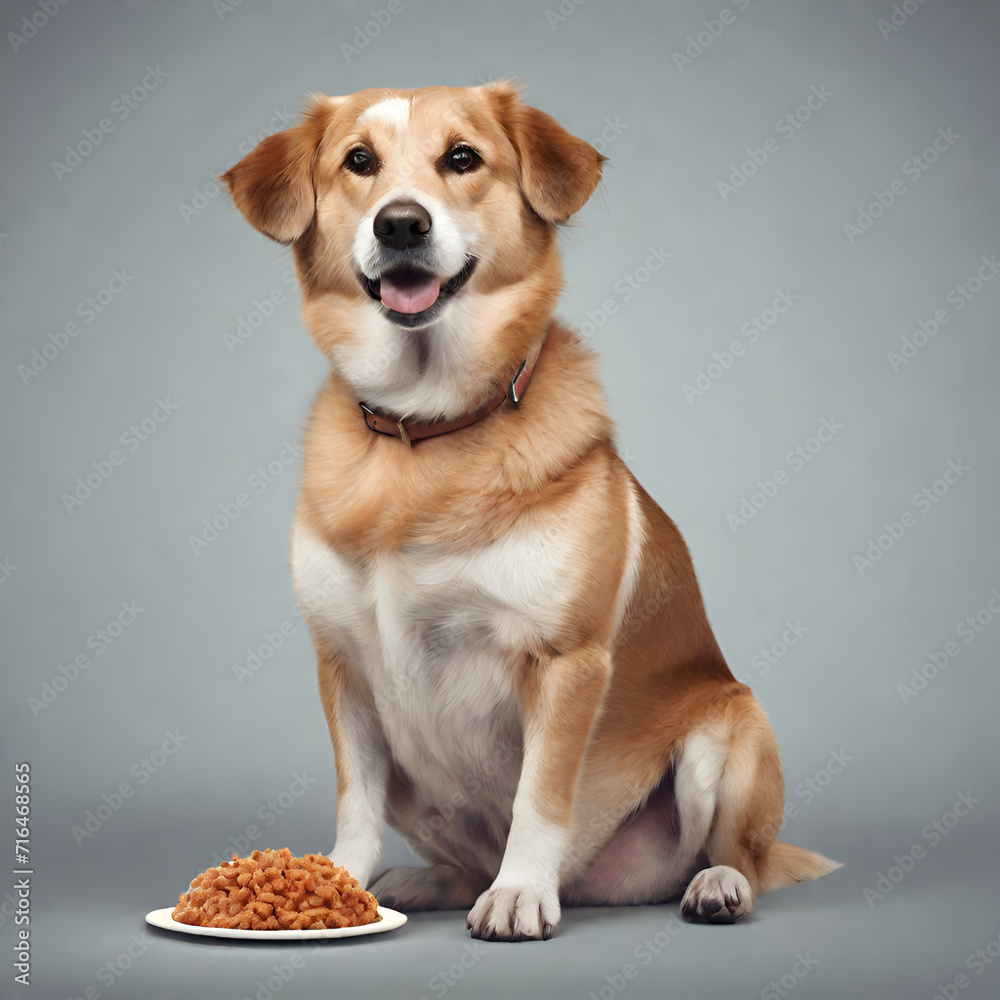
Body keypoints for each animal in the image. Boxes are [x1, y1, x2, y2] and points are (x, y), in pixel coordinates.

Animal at [223, 82, 840, 940]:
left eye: (462, 158)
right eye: (358, 161)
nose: (401, 224)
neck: (426, 433)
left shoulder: (564, 664)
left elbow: (539, 801)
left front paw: (519, 893)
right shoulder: (342, 667)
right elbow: (355, 801)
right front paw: (334, 884)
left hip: (732, 730)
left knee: (734, 852)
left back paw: (716, 885)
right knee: (454, 854)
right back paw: (423, 879)